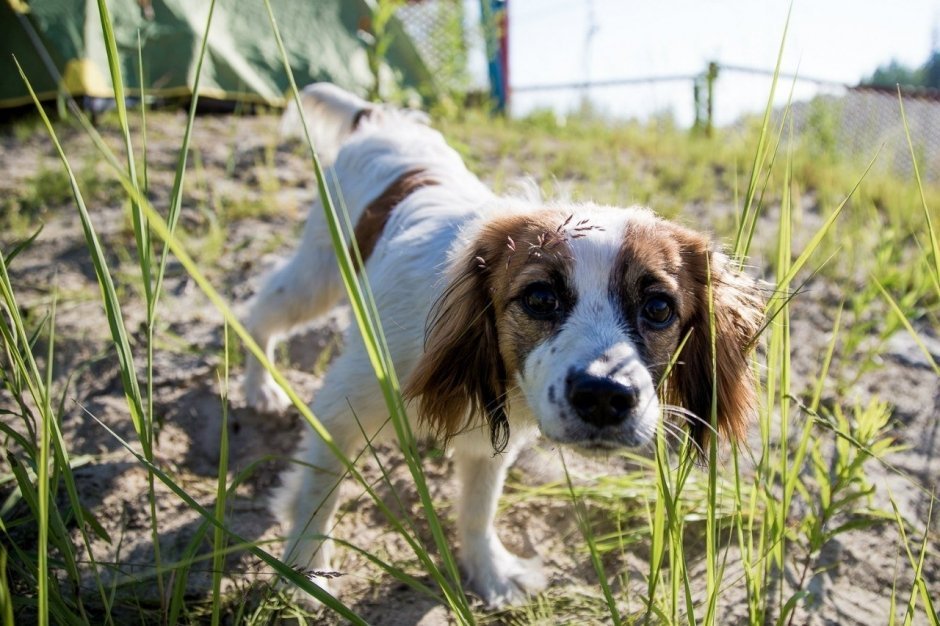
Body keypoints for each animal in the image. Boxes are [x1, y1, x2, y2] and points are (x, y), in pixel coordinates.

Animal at [242, 83, 764, 604]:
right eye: (540, 298)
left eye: (658, 308)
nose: (603, 396)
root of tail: (382, 119)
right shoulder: (339, 409)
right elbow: (318, 493)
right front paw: (305, 568)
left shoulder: (493, 436)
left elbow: (478, 507)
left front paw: (489, 570)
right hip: (316, 274)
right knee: (260, 306)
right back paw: (258, 386)